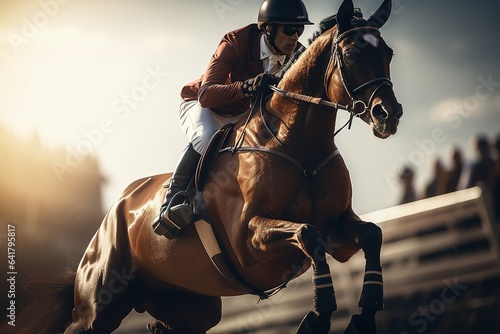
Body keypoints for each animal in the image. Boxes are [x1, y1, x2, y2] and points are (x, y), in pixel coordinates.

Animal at [45, 0, 404, 332]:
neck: (303, 147)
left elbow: (371, 234)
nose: (389, 114)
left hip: (190, 307)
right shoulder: (248, 238)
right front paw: (319, 315)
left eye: (388, 52)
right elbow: (307, 233)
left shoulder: (337, 227)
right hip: (99, 307)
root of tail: (112, 214)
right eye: (351, 55)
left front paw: (364, 316)